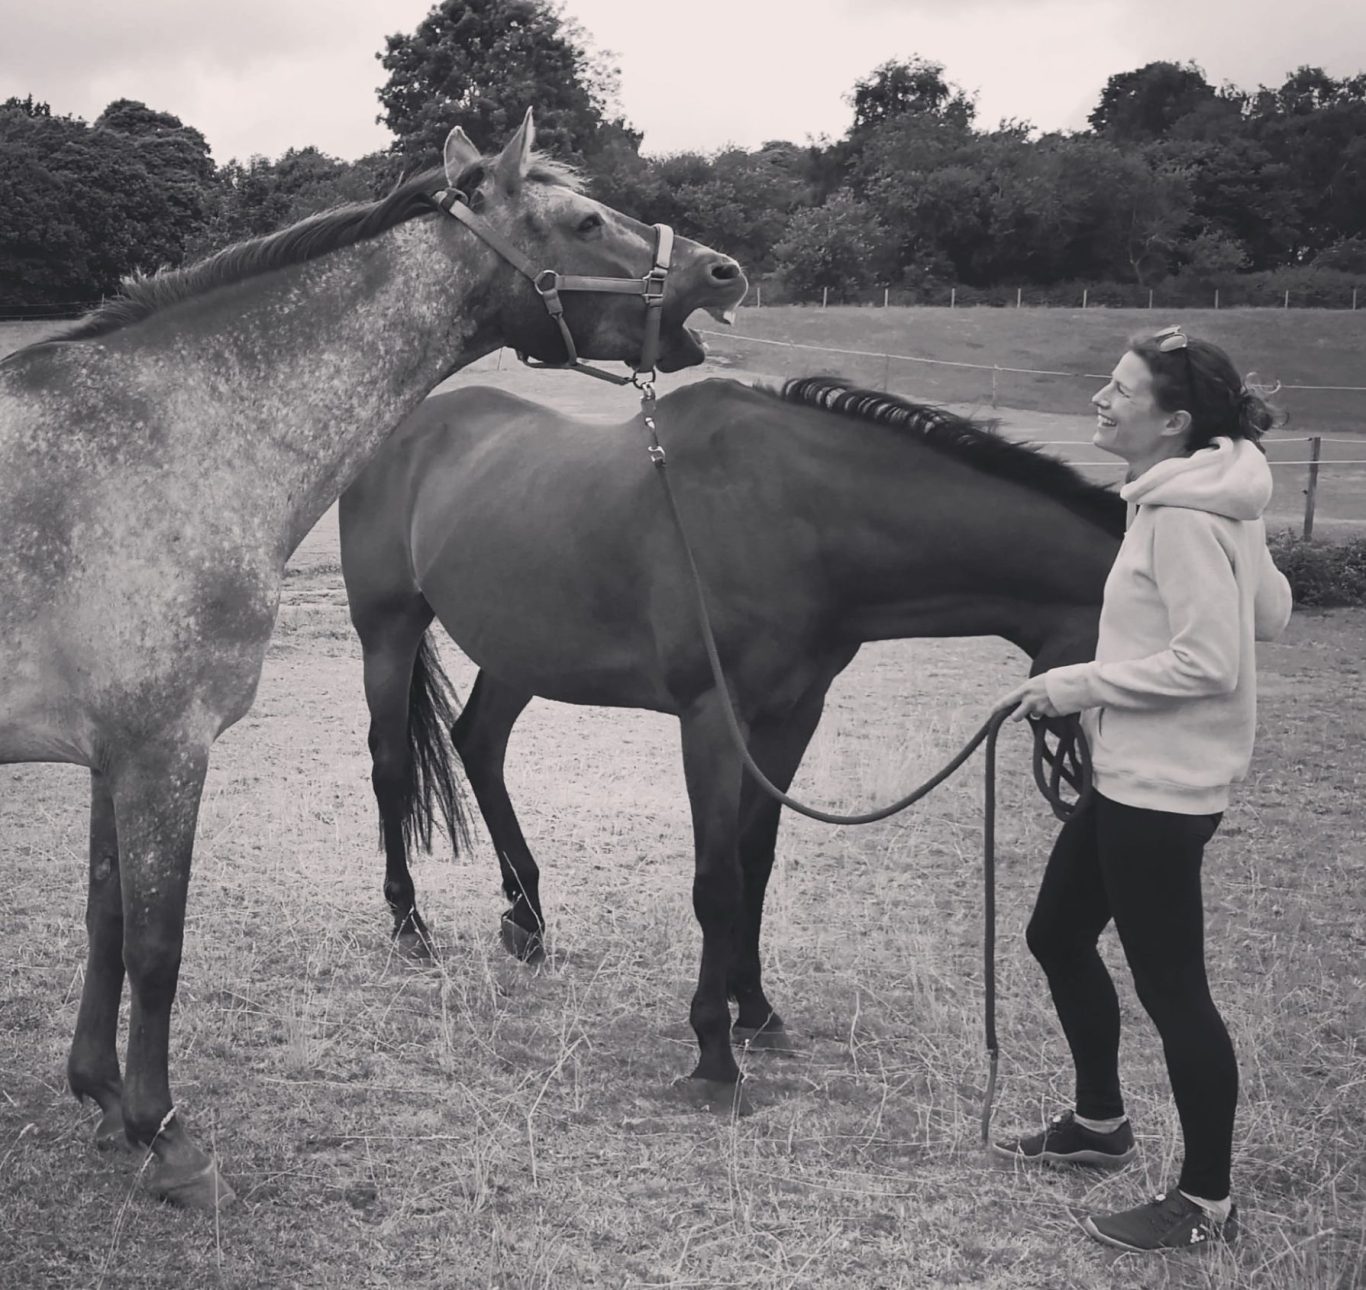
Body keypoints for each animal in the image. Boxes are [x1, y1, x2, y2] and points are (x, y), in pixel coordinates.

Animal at [0, 108, 746, 1209]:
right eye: (584, 219)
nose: (722, 270)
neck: (162, 445)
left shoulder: (116, 755)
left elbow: (106, 920)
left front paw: (99, 1097)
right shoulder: (163, 749)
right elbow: (158, 944)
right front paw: (164, 1134)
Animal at [339, 374, 1125, 1106]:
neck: (793, 515)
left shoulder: (792, 716)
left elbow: (755, 861)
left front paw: (755, 1008)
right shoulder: (713, 719)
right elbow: (717, 881)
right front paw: (714, 1051)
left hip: (520, 650)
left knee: (479, 744)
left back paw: (526, 920)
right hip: (389, 631)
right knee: (390, 766)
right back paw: (408, 922)